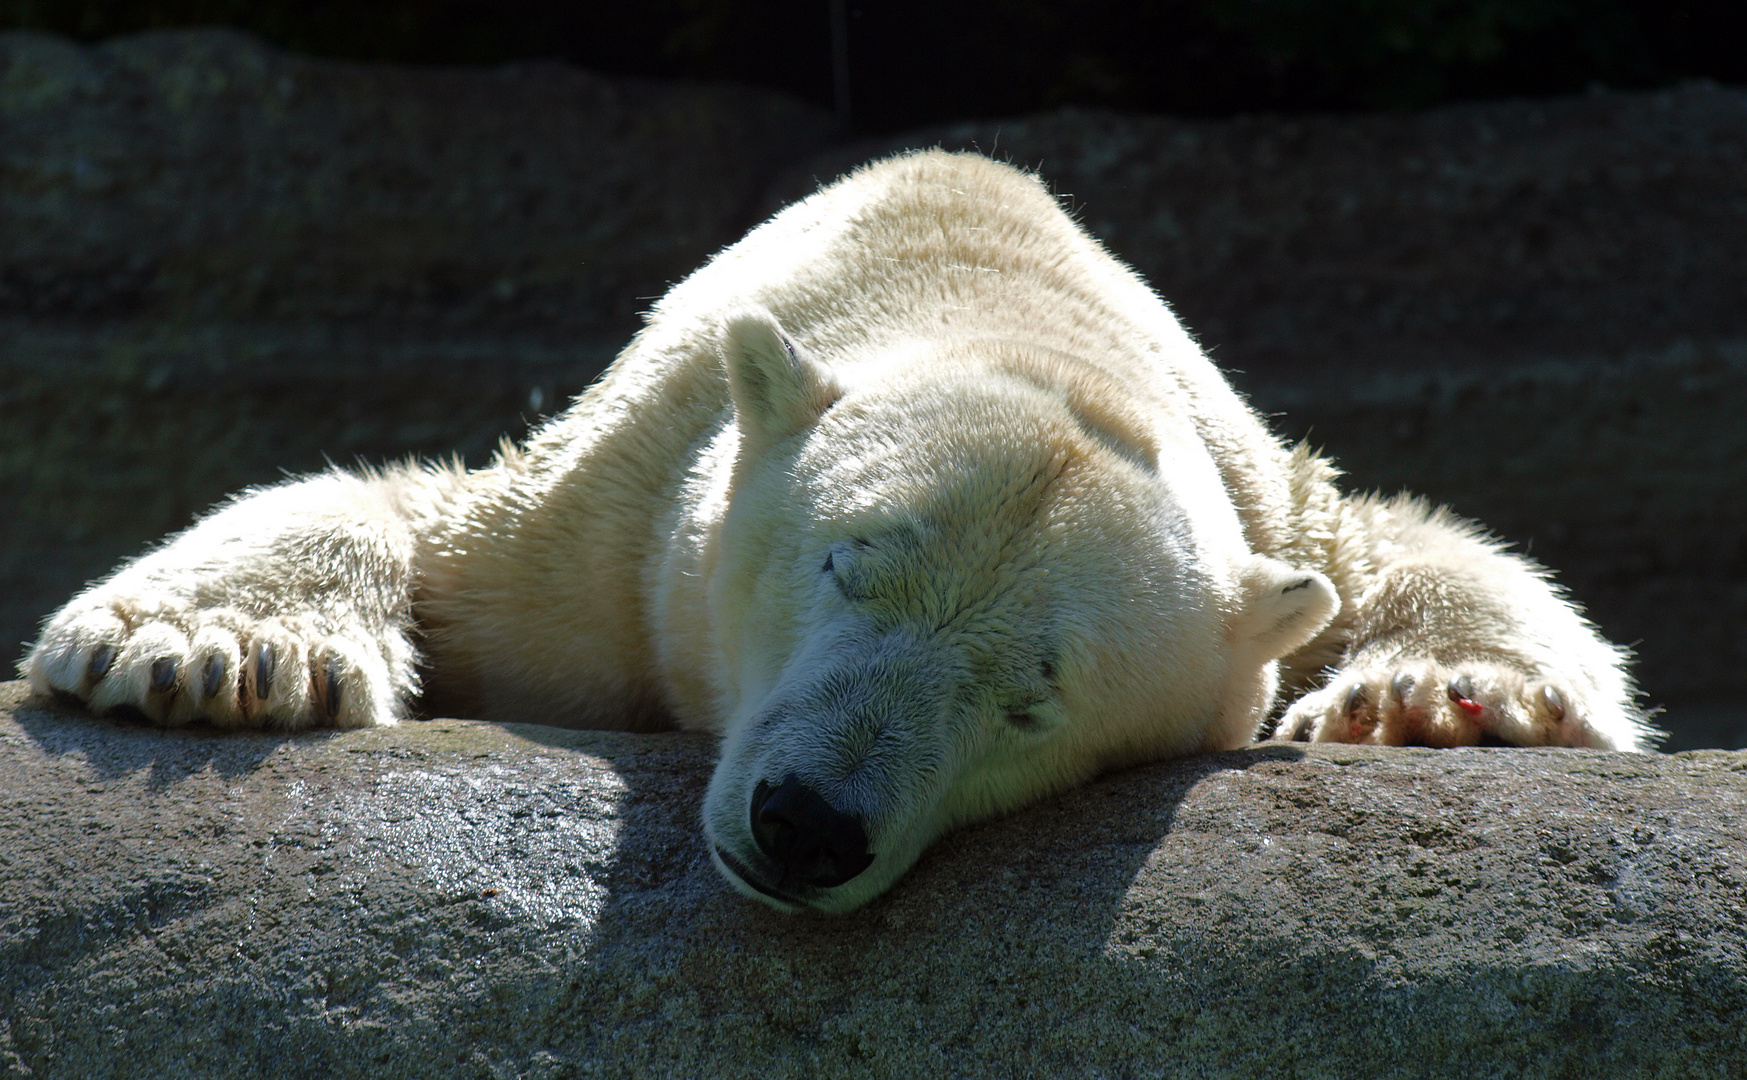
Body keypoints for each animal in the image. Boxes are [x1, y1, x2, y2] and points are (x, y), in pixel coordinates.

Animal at [20, 151, 1649, 908]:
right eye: (843, 564)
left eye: (1036, 698)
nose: (805, 825)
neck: (995, 294)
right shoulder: (601, 520)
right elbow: (408, 514)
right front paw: (215, 657)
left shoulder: (1260, 493)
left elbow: (1389, 550)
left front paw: (1440, 702)